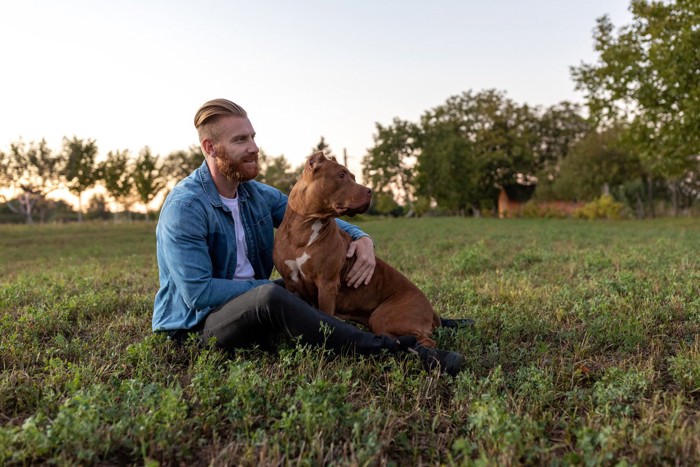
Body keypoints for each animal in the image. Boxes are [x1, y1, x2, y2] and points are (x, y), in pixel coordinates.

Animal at [274, 152, 464, 374]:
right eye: (341, 175)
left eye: (353, 176)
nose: (370, 191)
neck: (304, 228)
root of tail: (432, 311)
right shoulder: (291, 284)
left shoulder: (327, 284)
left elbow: (325, 319)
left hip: (383, 317)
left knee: (423, 342)